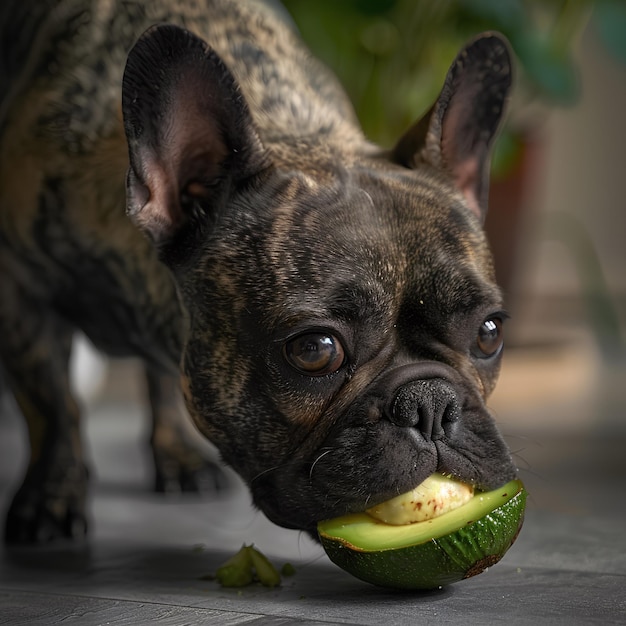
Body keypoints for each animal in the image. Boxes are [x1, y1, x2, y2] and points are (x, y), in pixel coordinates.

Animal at [1, 0, 516, 540]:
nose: (431, 403)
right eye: (315, 350)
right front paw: (50, 499)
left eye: (489, 333)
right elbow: (53, 406)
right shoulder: (20, 293)